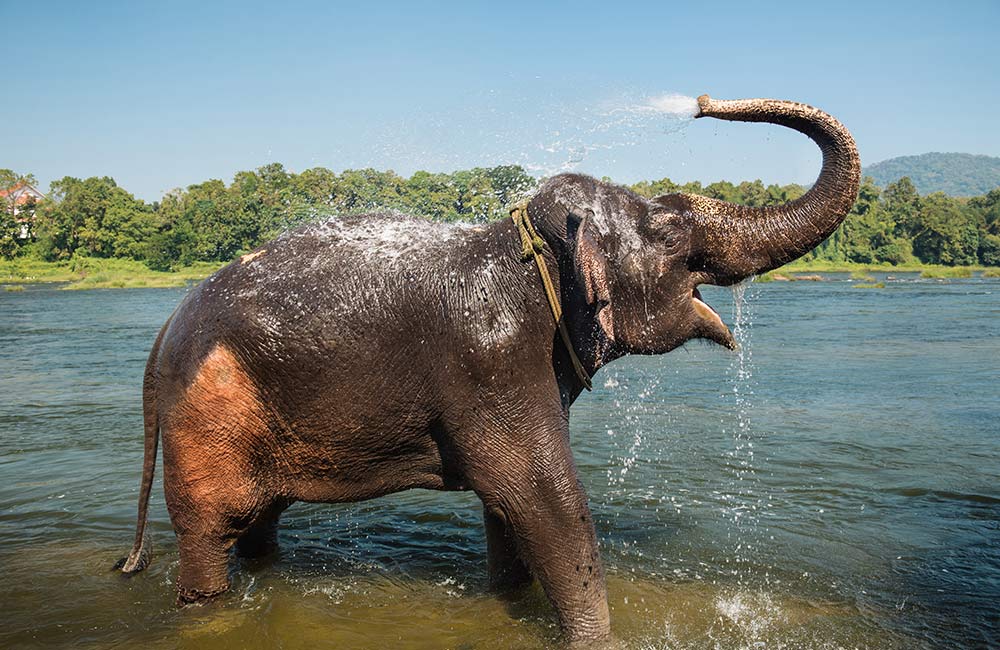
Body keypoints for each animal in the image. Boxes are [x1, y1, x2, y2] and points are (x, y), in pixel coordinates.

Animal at [113, 93, 856, 640]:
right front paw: (598, 637)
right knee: (213, 529)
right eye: (670, 231)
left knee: (260, 524)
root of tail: (164, 334)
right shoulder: (491, 359)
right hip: (206, 419)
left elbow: (509, 508)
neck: (524, 245)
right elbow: (542, 497)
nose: (701, 103)